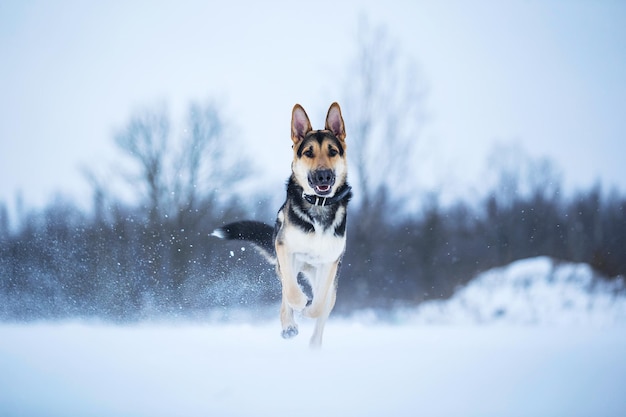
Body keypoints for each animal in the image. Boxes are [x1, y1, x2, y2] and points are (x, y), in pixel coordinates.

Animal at [211, 102, 352, 346]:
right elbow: (292, 293)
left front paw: (309, 310)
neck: (319, 205)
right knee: (287, 291)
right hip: (288, 262)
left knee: (321, 310)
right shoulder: (285, 248)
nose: (323, 176)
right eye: (309, 152)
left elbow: (319, 303)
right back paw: (289, 326)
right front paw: (298, 308)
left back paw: (313, 344)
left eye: (333, 152)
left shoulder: (329, 263)